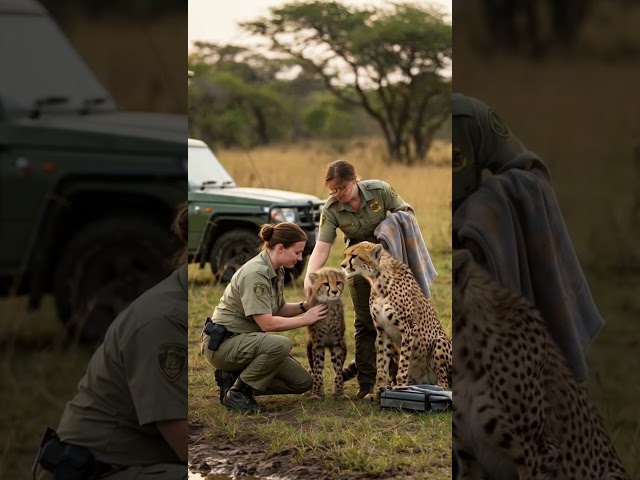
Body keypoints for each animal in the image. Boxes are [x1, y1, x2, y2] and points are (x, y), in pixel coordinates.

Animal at [340, 240, 450, 402]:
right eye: (346, 254)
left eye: (354, 256)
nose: (342, 265)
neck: (378, 279)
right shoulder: (383, 331)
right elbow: (381, 365)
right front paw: (377, 392)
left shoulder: (409, 329)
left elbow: (403, 365)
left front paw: (400, 388)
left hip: (440, 341)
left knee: (445, 383)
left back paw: (436, 390)